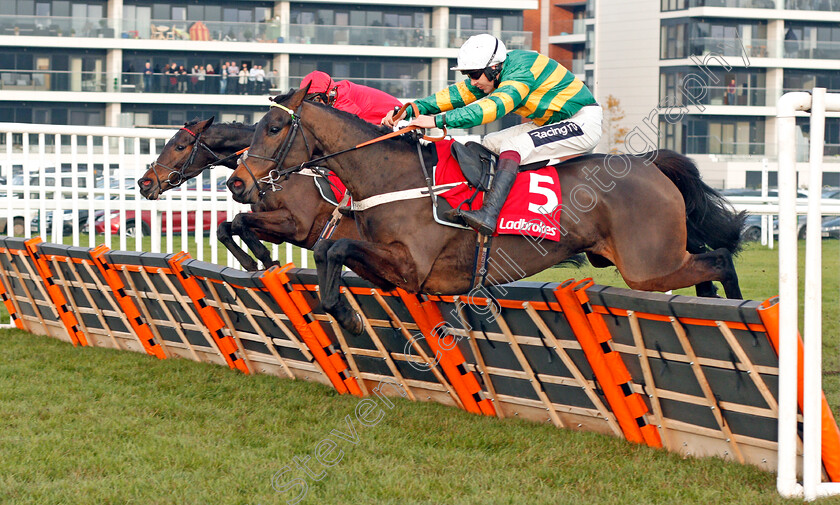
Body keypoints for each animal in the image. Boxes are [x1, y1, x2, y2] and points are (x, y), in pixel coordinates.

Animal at [139, 117, 360, 270]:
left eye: (180, 146)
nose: (145, 183)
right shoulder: (275, 231)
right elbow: (226, 227)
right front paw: (251, 262)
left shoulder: (298, 225)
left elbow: (239, 220)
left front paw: (267, 260)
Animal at [226, 88, 744, 334]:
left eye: (274, 127)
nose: (237, 183)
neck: (395, 177)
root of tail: (647, 162)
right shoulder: (389, 270)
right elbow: (327, 251)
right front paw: (336, 306)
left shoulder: (411, 266)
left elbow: (332, 248)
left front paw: (346, 315)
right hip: (647, 256)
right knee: (708, 257)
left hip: (647, 265)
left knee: (720, 258)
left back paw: (737, 308)